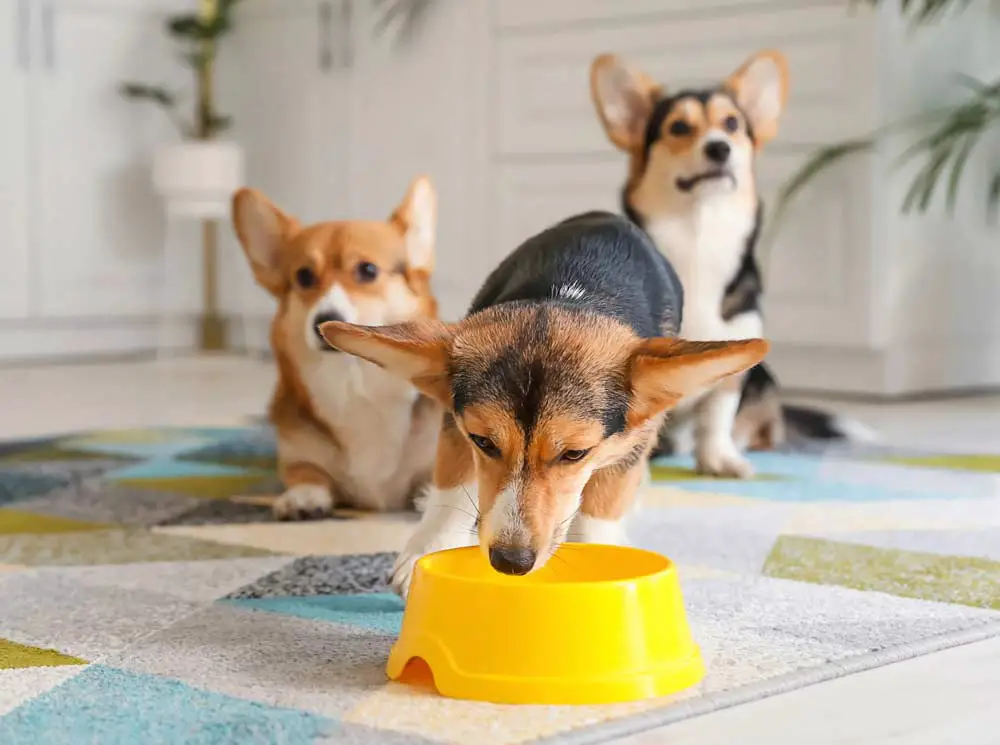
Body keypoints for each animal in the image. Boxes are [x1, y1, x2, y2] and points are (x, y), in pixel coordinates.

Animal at [233, 177, 442, 520]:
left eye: (368, 270)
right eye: (304, 276)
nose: (323, 320)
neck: (353, 380)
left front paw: (428, 496)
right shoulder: (298, 457)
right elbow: (306, 474)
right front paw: (302, 497)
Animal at [320, 209, 764, 592]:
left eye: (575, 453)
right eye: (484, 442)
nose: (510, 562)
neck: (569, 295)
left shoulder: (632, 437)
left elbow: (602, 504)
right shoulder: (455, 426)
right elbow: (452, 483)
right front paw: (426, 551)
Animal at [592, 50, 876, 476]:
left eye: (732, 124)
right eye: (679, 127)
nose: (719, 148)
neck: (699, 237)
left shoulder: (735, 363)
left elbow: (716, 414)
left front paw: (718, 460)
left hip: (763, 377)